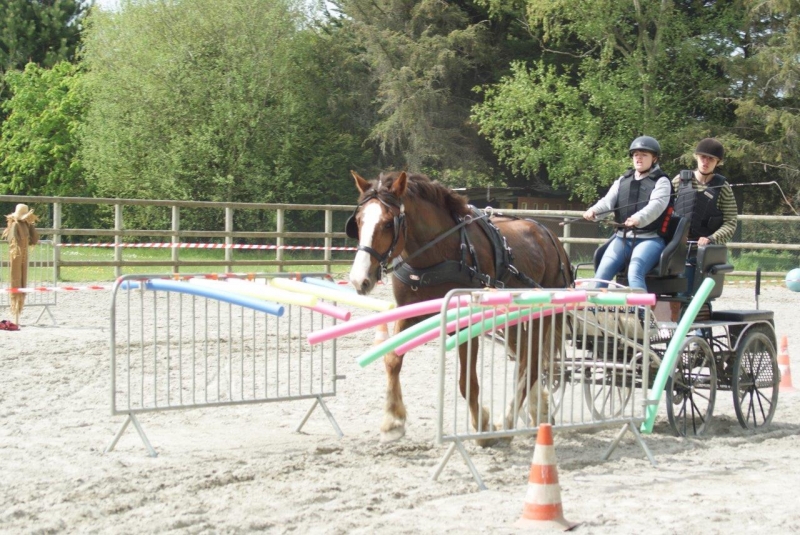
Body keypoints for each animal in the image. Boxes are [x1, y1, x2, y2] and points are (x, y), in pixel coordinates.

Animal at [346, 172, 572, 444]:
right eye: (359, 221)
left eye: (389, 224)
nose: (359, 279)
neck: (437, 254)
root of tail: (549, 235)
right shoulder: (408, 311)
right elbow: (392, 359)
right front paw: (393, 420)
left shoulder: (468, 322)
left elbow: (467, 382)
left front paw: (482, 425)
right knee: (524, 356)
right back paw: (538, 409)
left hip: (542, 313)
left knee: (533, 362)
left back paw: (508, 421)